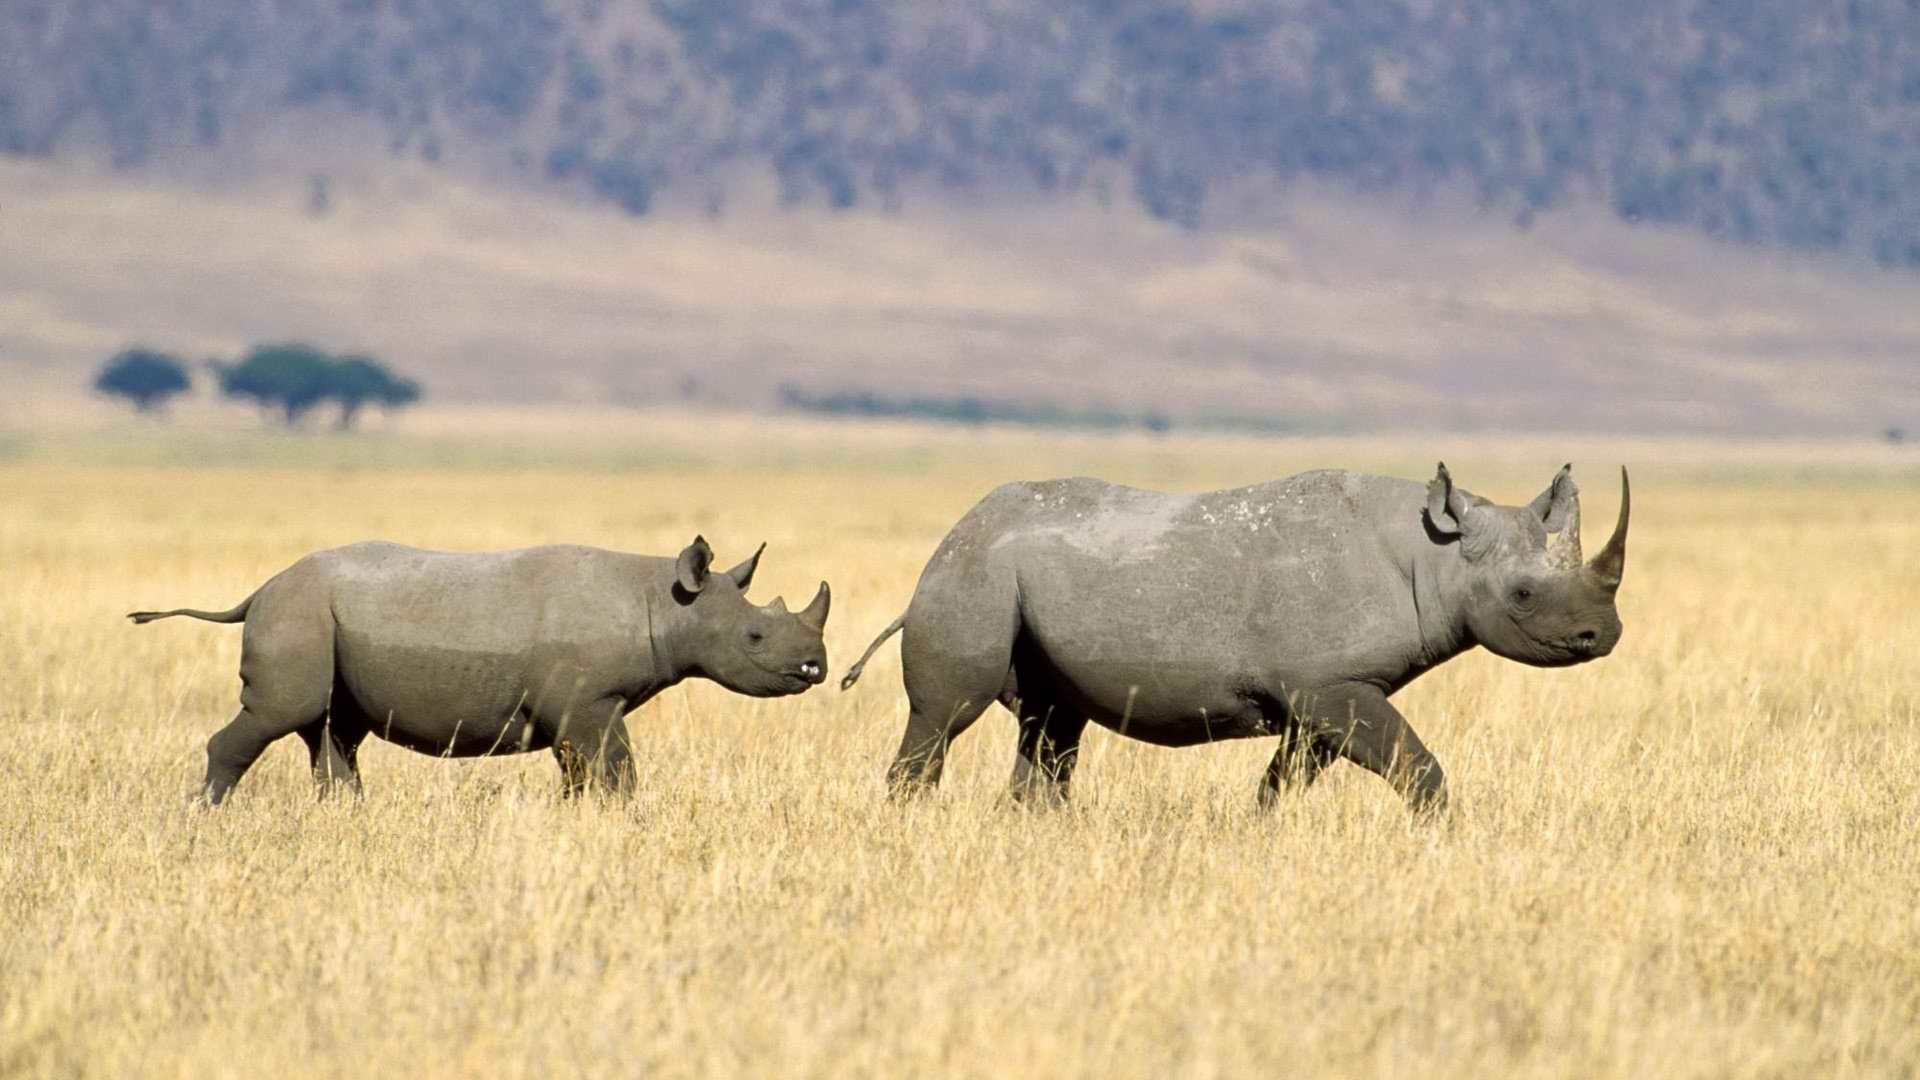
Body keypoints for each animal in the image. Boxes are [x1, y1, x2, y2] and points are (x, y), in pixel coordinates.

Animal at [131, 537, 830, 804]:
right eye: (755, 636)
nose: (814, 668)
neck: (664, 599)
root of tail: (260, 588)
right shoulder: (589, 701)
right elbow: (616, 769)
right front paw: (622, 816)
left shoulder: (579, 708)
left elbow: (584, 773)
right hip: (296, 616)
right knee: (280, 714)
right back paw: (204, 814)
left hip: (318, 619)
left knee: (333, 730)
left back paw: (345, 817)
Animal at [840, 463, 1628, 813]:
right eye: (1522, 597)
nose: (1604, 635)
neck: (1434, 554)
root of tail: (951, 537)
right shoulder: (1328, 686)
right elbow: (1417, 767)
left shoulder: (1327, 692)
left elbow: (1286, 777)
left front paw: (1263, 829)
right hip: (968, 575)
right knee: (947, 716)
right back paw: (909, 821)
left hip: (1011, 577)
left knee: (1053, 720)